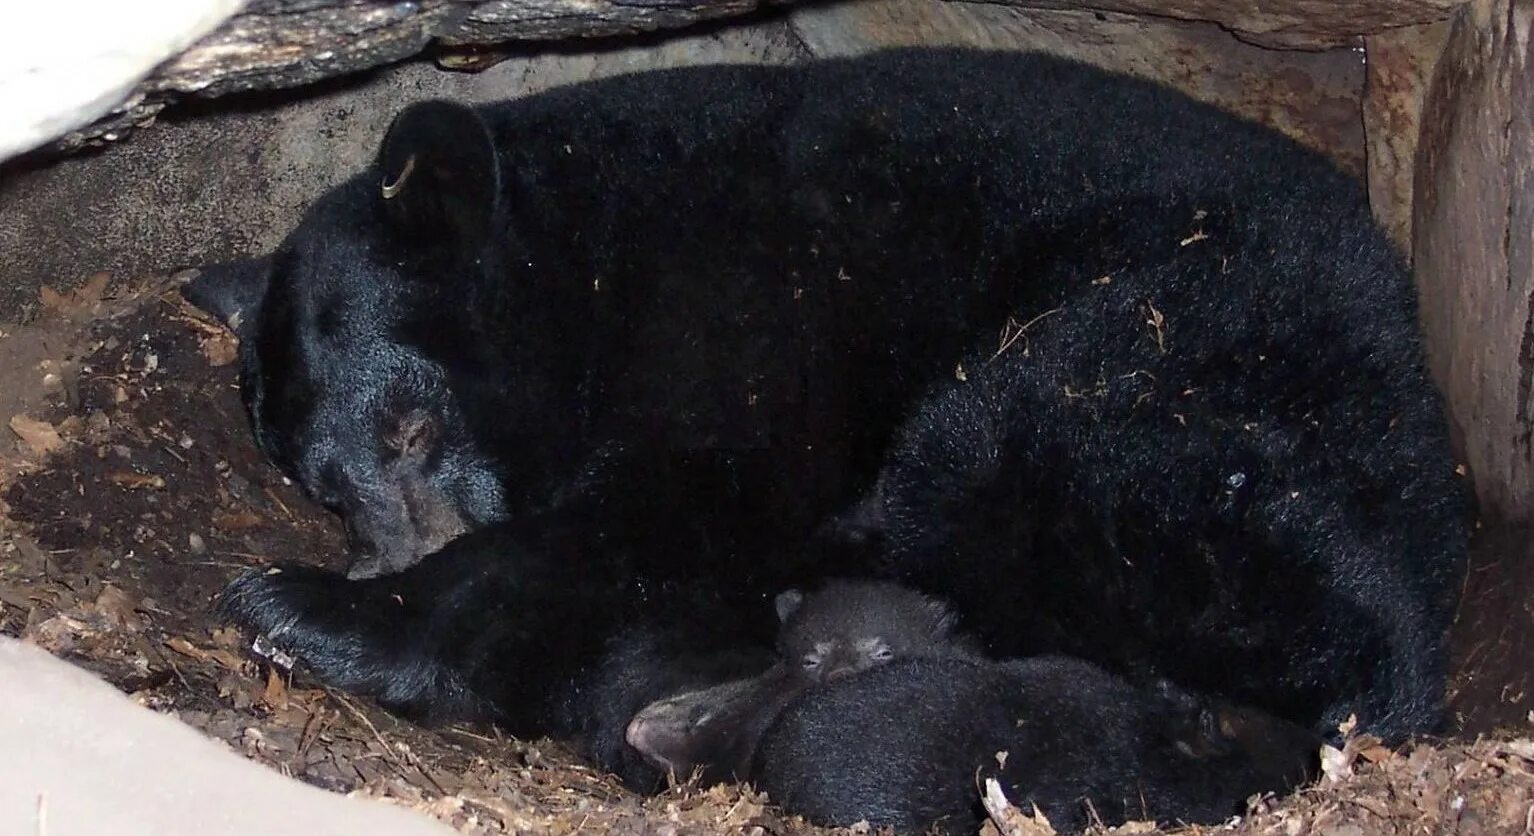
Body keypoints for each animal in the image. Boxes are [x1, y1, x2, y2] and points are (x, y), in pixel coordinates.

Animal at [197, 47, 1466, 803]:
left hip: (1152, 368)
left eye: (413, 427)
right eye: (318, 483)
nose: (380, 552)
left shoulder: (745, 310)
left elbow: (675, 495)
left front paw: (312, 608)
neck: (592, 258)